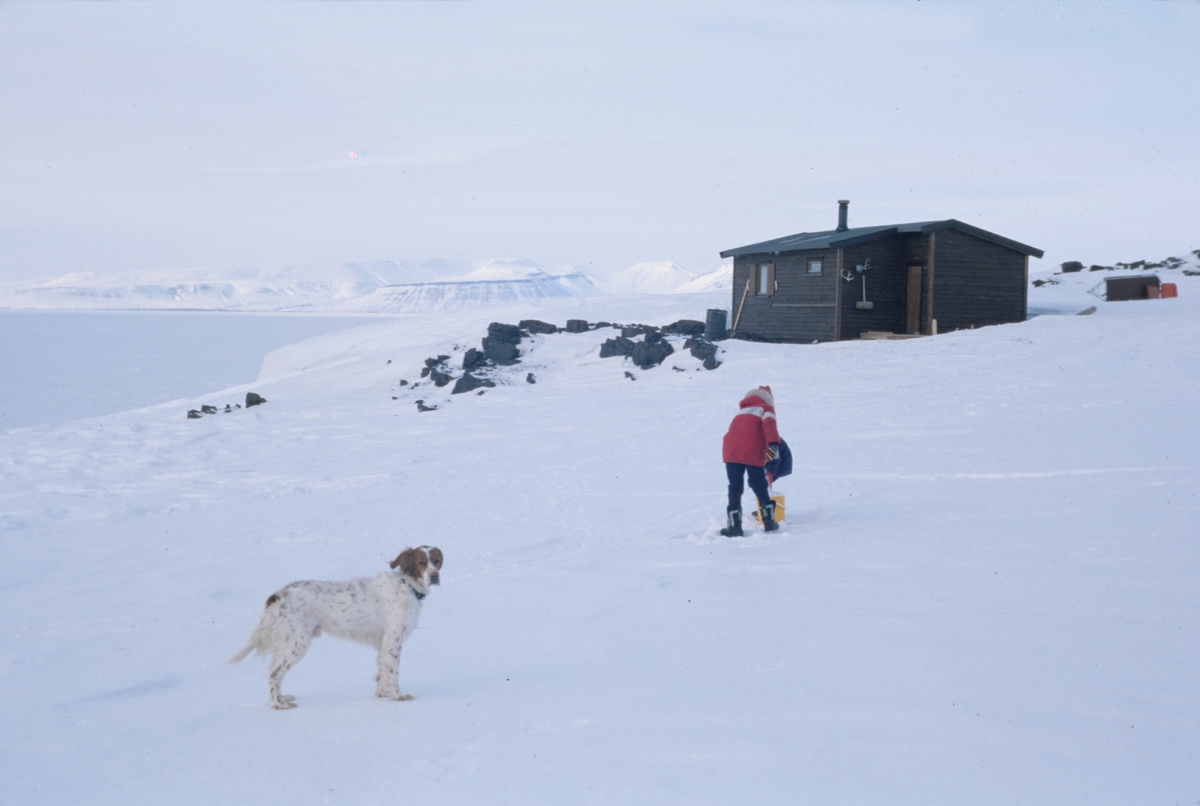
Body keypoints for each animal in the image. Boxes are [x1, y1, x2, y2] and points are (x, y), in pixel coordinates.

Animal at [229, 544, 441, 710]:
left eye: (437, 561)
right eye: (421, 562)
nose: (434, 576)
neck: (407, 586)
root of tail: (276, 596)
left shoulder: (383, 643)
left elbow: (381, 672)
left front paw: (382, 694)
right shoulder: (393, 641)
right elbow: (393, 673)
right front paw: (397, 696)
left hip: (286, 642)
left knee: (274, 671)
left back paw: (282, 698)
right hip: (298, 643)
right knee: (274, 674)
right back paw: (279, 705)